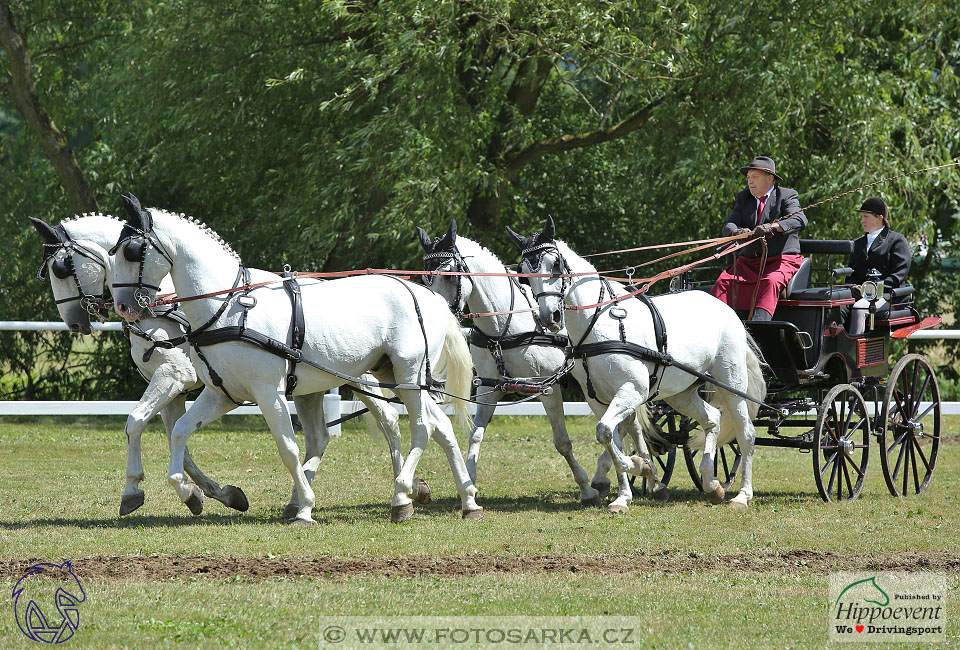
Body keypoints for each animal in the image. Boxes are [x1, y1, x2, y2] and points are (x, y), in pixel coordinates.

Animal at [31, 215, 251, 512]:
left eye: (61, 268)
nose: (74, 324)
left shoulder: (173, 375)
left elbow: (135, 422)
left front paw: (133, 488)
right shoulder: (174, 391)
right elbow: (178, 442)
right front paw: (209, 491)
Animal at [109, 194, 480, 520]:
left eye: (131, 250)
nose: (123, 308)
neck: (228, 307)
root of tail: (428, 296)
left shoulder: (268, 392)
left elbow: (288, 449)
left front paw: (305, 508)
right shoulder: (221, 393)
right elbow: (180, 431)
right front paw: (190, 493)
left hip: (408, 374)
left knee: (422, 427)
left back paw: (402, 496)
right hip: (389, 375)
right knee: (439, 425)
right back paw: (467, 500)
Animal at [416, 220, 664, 508]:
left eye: (449, 276)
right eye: (425, 278)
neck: (506, 326)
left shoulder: (547, 387)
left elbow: (562, 442)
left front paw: (585, 490)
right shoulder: (489, 389)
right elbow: (476, 434)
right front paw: (468, 485)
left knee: (625, 425)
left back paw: (630, 477)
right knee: (629, 423)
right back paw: (642, 473)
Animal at [510, 218, 764, 506]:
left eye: (555, 265)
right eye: (524, 272)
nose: (549, 317)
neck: (598, 323)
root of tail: (724, 308)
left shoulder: (633, 390)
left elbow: (607, 432)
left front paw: (640, 467)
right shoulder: (599, 399)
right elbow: (610, 436)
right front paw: (625, 493)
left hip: (731, 383)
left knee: (746, 433)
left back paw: (742, 495)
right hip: (681, 394)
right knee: (713, 418)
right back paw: (711, 483)